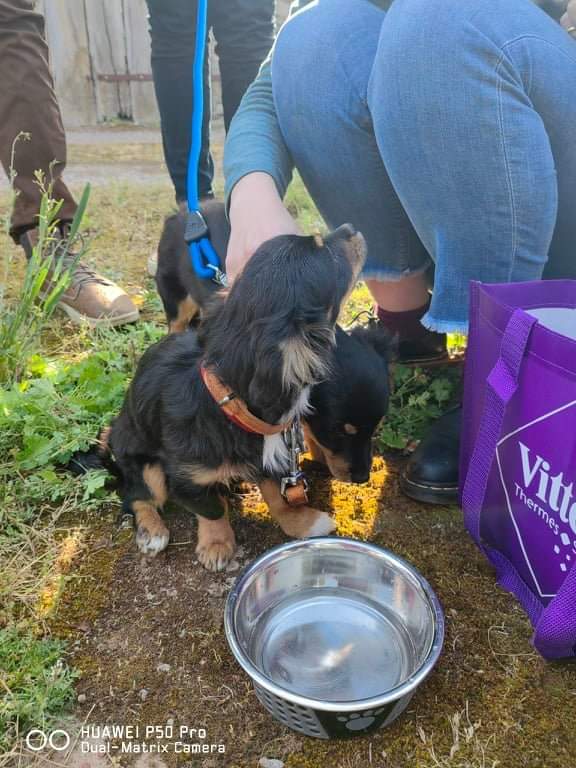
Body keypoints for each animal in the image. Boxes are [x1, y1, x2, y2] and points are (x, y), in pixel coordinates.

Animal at [98, 225, 362, 568]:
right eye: (328, 256)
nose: (350, 229)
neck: (229, 404)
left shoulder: (272, 459)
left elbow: (278, 498)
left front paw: (303, 523)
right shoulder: (187, 478)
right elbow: (212, 509)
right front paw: (216, 545)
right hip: (143, 462)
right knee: (137, 496)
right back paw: (152, 531)